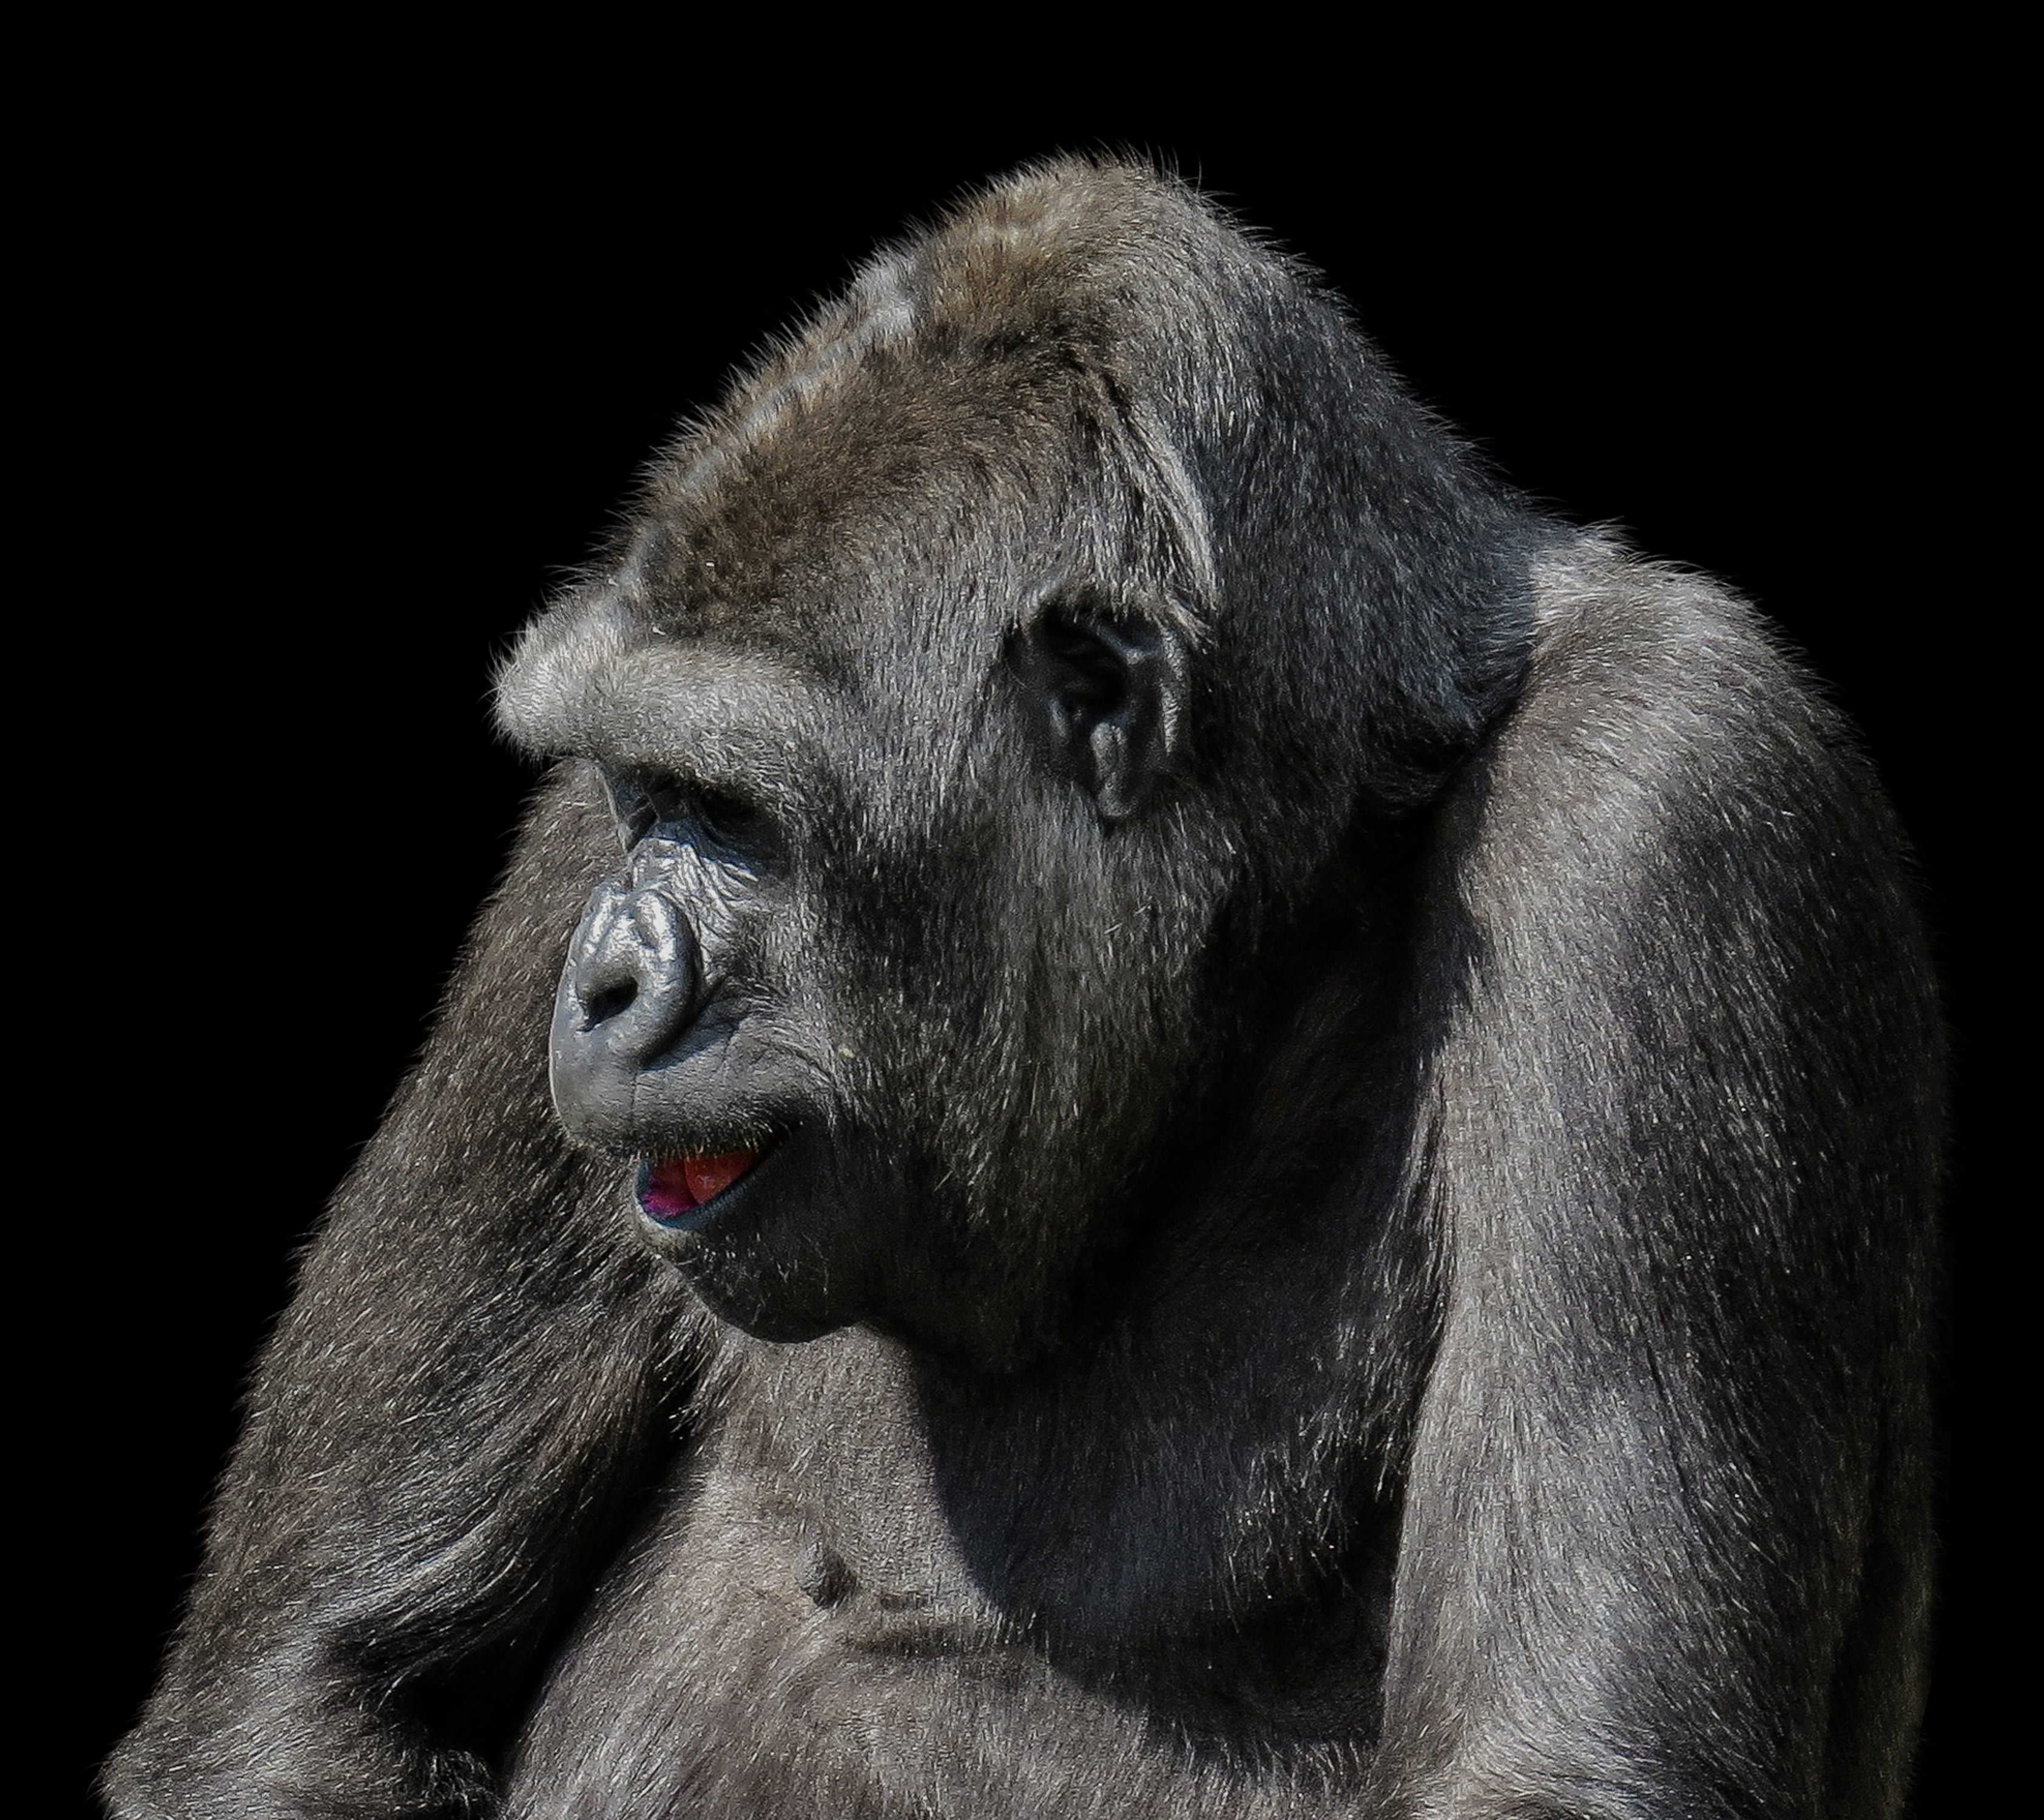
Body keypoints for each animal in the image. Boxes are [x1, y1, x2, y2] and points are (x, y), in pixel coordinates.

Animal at [105, 157, 1942, 1819]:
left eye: (738, 818)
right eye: (644, 794)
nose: (608, 981)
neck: (1309, 865)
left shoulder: (1664, 795)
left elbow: (1553, 1760)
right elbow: (314, 1694)